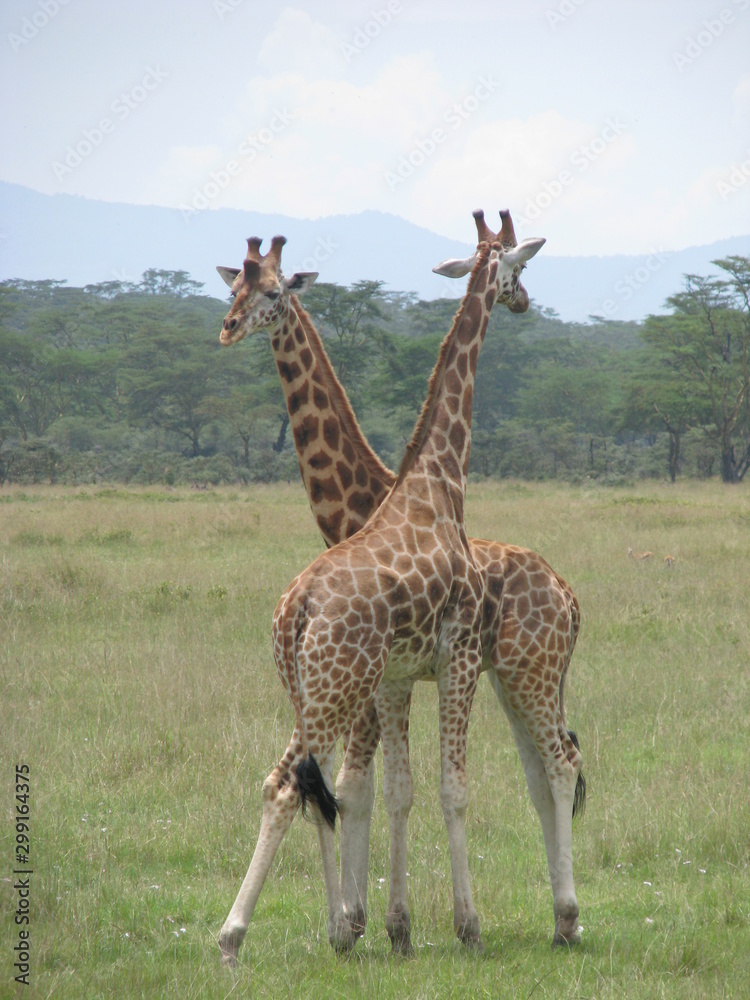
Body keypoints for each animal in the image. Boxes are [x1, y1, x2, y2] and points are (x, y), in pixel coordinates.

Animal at [215, 214, 584, 966]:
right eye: (520, 269)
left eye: (270, 291)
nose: (229, 326)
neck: (431, 481)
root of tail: (569, 595)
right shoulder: (439, 663)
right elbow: (418, 789)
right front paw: (428, 924)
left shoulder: (405, 675)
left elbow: (382, 790)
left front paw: (377, 923)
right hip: (415, 682)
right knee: (290, 783)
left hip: (518, 675)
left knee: (553, 769)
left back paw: (566, 917)